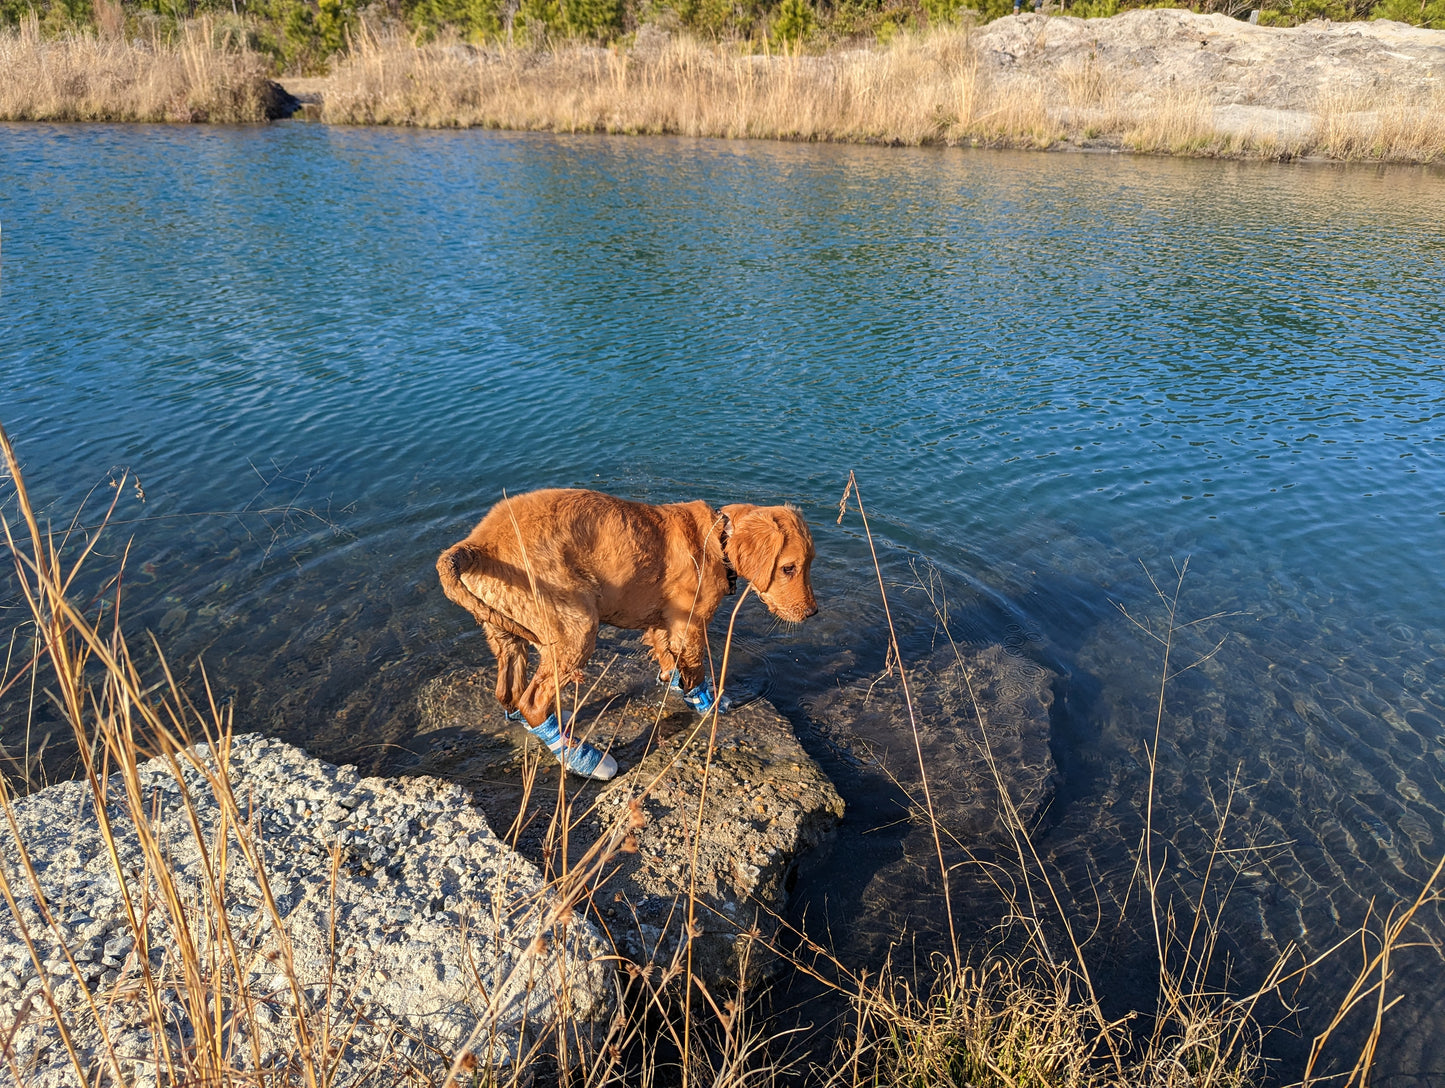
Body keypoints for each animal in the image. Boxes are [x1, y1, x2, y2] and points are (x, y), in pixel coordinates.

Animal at [433, 488, 814, 774]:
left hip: (504, 632)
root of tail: (476, 546)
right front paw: (708, 705)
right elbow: (696, 670)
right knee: (532, 701)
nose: (812, 612)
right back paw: (583, 759)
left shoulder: (662, 623)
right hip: (577, 626)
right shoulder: (689, 625)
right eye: (789, 568)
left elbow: (669, 660)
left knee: (510, 692)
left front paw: (675, 685)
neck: (715, 539)